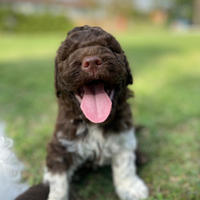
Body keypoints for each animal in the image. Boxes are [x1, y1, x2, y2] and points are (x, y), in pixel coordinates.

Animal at [42, 25, 148, 200]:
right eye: (69, 54)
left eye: (110, 48)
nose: (92, 62)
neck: (93, 123)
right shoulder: (61, 143)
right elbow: (58, 181)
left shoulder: (123, 135)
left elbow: (124, 165)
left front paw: (131, 187)